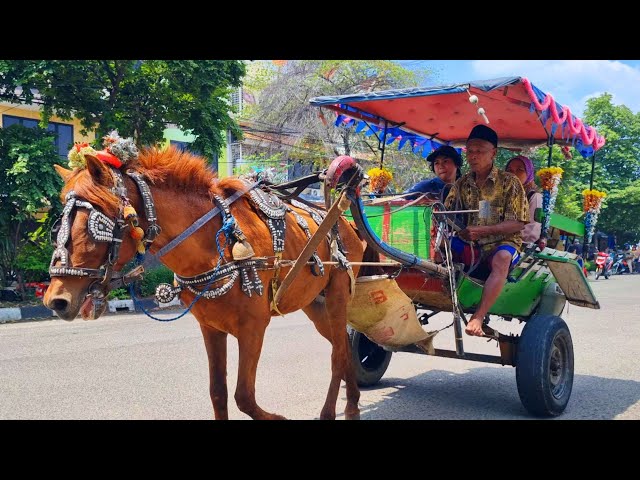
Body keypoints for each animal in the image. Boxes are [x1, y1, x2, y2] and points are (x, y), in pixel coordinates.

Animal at [43, 147, 364, 420]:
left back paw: (334, 411)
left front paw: (278, 418)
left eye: (95, 226)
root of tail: (347, 224)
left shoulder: (253, 327)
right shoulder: (210, 328)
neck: (214, 245)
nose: (56, 300)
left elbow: (244, 396)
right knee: (344, 347)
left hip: (337, 295)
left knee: (337, 354)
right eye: (57, 227)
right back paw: (353, 404)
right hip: (314, 304)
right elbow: (218, 393)